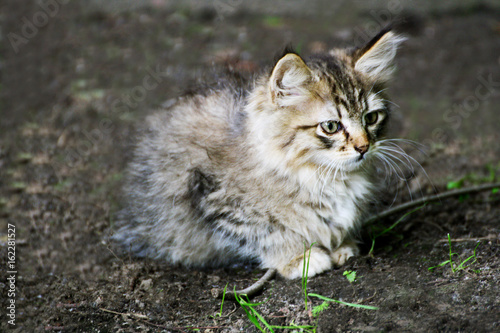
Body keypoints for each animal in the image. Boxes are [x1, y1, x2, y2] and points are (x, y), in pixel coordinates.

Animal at [113, 26, 406, 278]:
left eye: (371, 118)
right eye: (331, 126)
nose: (363, 147)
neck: (320, 175)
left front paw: (342, 245)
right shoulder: (213, 195)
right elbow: (270, 232)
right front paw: (299, 258)